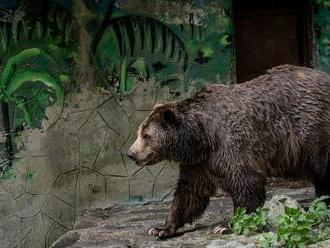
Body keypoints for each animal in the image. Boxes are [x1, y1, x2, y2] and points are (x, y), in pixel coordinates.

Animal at [126, 65, 330, 239]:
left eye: (146, 135)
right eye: (139, 132)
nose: (131, 153)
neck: (201, 136)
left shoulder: (232, 143)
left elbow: (246, 182)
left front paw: (226, 225)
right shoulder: (199, 162)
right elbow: (189, 192)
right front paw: (161, 228)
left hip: (315, 130)